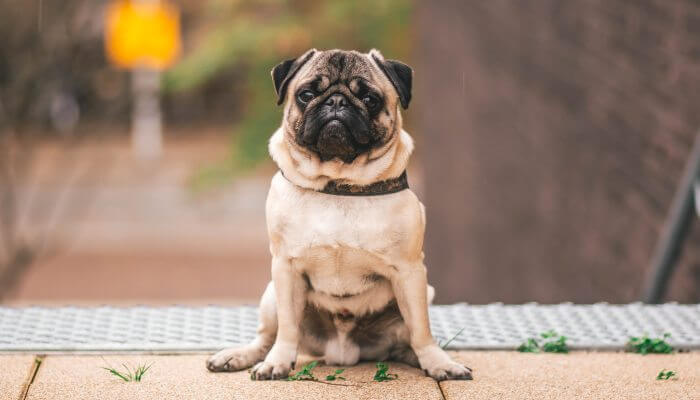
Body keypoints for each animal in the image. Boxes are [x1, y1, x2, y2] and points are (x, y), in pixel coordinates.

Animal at [205, 49, 474, 382]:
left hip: (424, 292)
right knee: (266, 337)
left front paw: (438, 362)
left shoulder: (410, 271)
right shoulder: (285, 268)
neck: (339, 184)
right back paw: (240, 356)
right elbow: (288, 329)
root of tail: (342, 352)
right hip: (270, 295)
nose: (336, 101)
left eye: (370, 99)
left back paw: (423, 357)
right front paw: (278, 361)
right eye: (306, 95)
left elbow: (422, 330)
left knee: (408, 340)